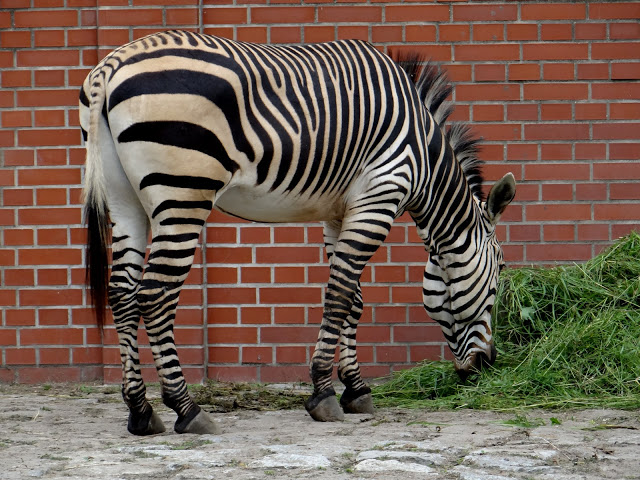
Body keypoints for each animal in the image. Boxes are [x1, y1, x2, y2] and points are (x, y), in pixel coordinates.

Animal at [79, 30, 515, 435]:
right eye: (499, 275)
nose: (487, 365)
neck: (424, 153)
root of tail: (111, 66)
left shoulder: (338, 213)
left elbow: (353, 299)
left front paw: (355, 389)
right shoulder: (380, 196)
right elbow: (339, 295)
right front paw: (323, 393)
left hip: (125, 200)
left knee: (122, 294)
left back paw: (141, 411)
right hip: (182, 192)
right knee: (154, 296)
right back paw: (186, 409)